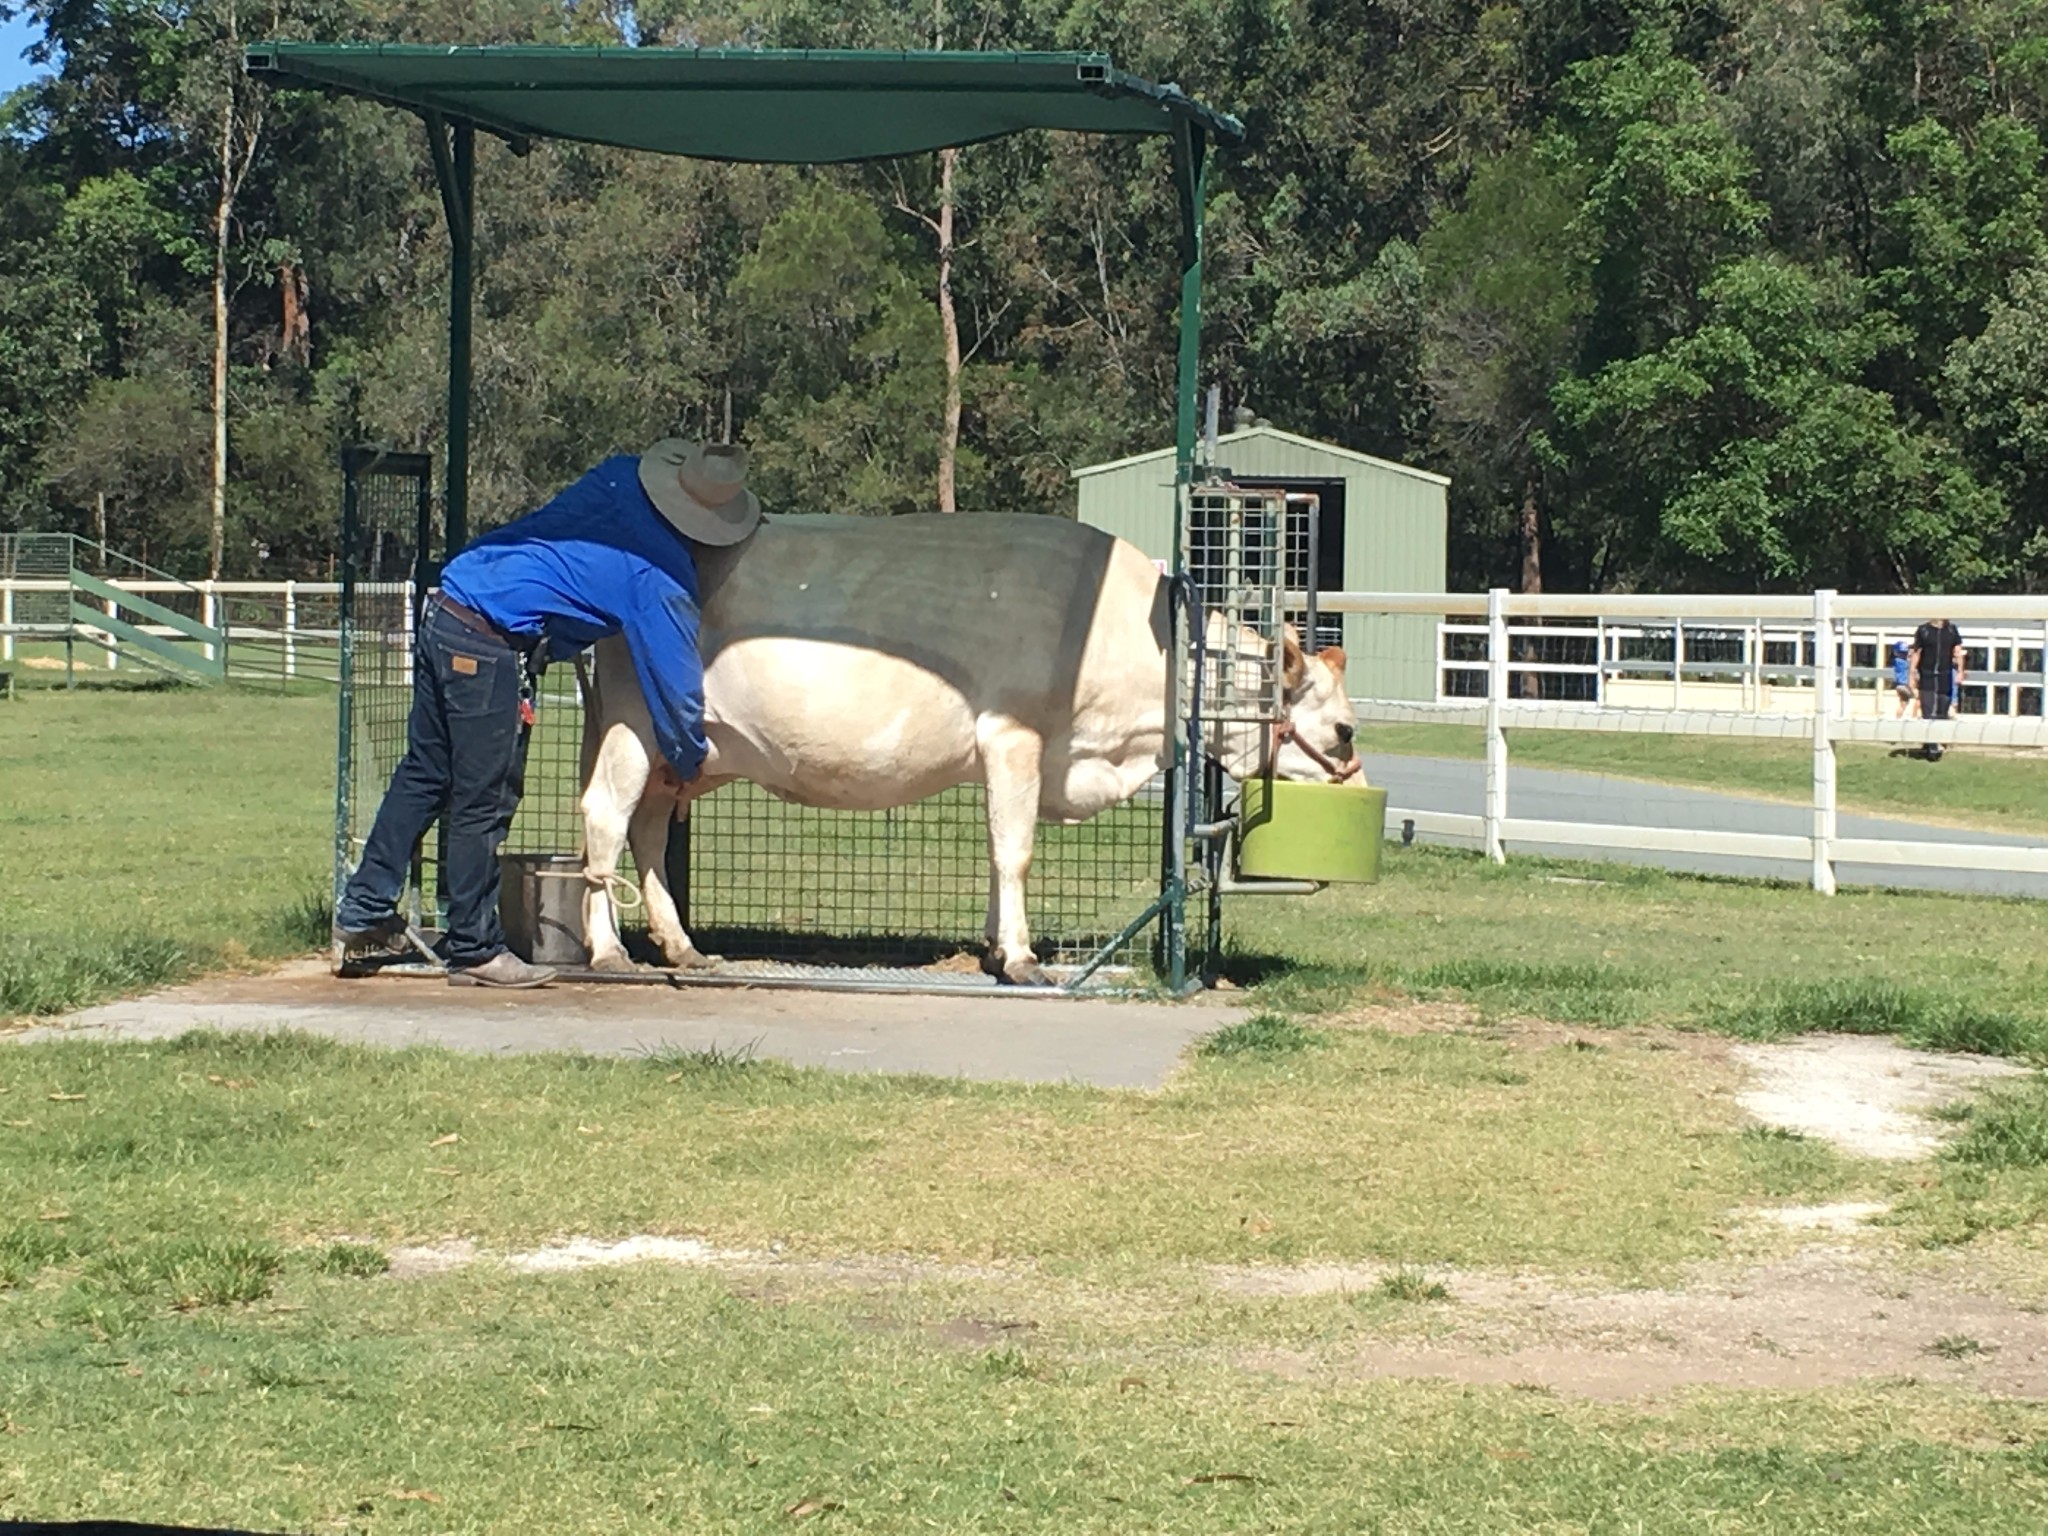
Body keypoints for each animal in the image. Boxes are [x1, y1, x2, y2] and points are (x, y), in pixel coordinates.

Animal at [573, 512, 1359, 978]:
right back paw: (608, 951)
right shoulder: (1014, 735)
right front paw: (1020, 957)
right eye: (1345, 729)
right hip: (635, 722)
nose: (1355, 778)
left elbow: (995, 849)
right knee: (606, 816)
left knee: (646, 829)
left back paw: (682, 946)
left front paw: (992, 944)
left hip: (683, 749)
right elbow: (1016, 852)